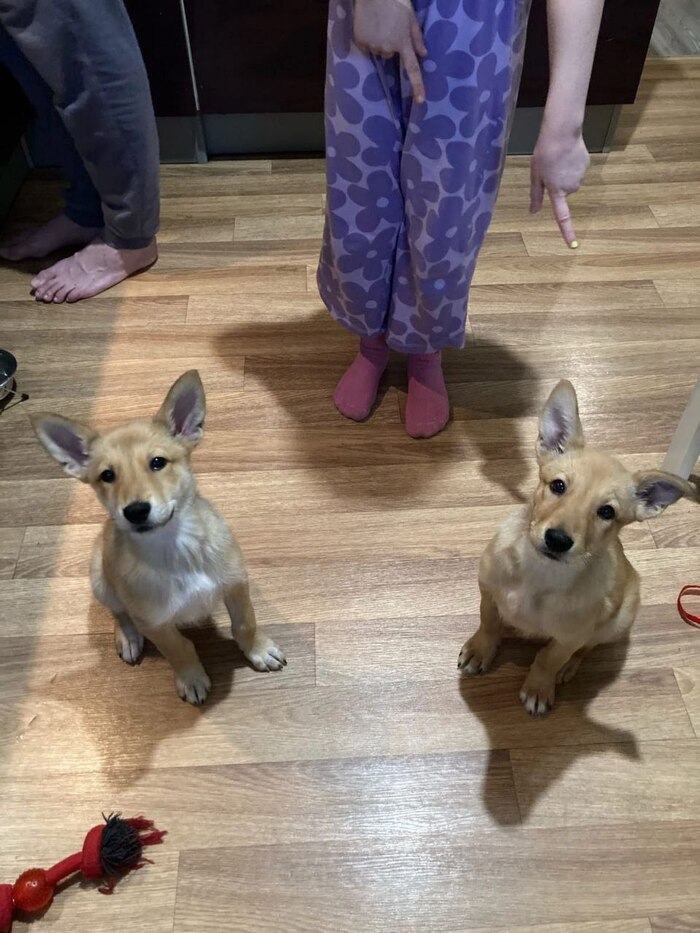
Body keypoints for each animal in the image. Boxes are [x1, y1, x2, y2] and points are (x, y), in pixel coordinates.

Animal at [31, 370, 285, 705]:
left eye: (157, 463)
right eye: (107, 476)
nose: (136, 511)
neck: (176, 549)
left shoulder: (236, 585)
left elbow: (245, 624)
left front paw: (258, 650)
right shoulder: (155, 624)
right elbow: (179, 650)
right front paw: (191, 679)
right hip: (100, 580)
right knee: (119, 612)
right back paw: (128, 638)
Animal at [458, 379, 696, 715]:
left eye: (606, 512)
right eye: (558, 485)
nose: (557, 540)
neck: (538, 572)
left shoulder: (569, 637)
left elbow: (548, 658)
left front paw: (538, 687)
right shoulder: (488, 592)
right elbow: (488, 623)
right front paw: (480, 650)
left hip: (618, 621)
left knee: (587, 648)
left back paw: (569, 668)